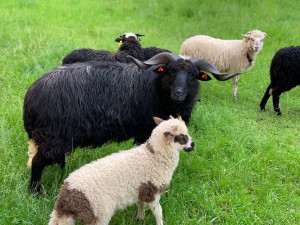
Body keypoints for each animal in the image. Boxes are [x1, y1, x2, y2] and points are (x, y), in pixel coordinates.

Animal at [22, 52, 239, 193]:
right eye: (169, 71)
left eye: (194, 75)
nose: (178, 93)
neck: (157, 87)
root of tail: (31, 97)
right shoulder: (146, 130)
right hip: (54, 137)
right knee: (38, 162)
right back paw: (35, 192)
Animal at [48, 116, 196, 225]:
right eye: (182, 137)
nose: (193, 145)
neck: (154, 156)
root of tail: (65, 199)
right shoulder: (152, 191)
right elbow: (158, 212)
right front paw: (159, 223)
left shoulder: (140, 189)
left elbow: (140, 205)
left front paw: (139, 219)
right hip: (99, 213)